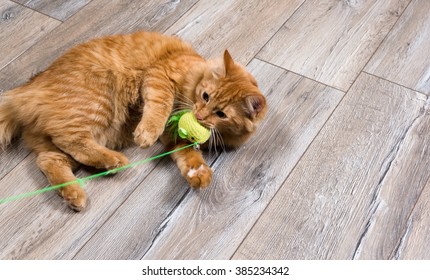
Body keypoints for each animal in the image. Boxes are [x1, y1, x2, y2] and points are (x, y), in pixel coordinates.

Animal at [0, 31, 268, 210]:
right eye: (205, 96)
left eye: (221, 114)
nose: (199, 115)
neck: (194, 75)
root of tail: (28, 89)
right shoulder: (160, 76)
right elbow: (159, 107)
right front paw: (146, 133)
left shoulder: (175, 138)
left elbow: (189, 156)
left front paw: (198, 173)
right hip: (97, 104)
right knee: (71, 141)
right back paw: (115, 161)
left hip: (72, 136)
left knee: (49, 160)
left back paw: (74, 194)